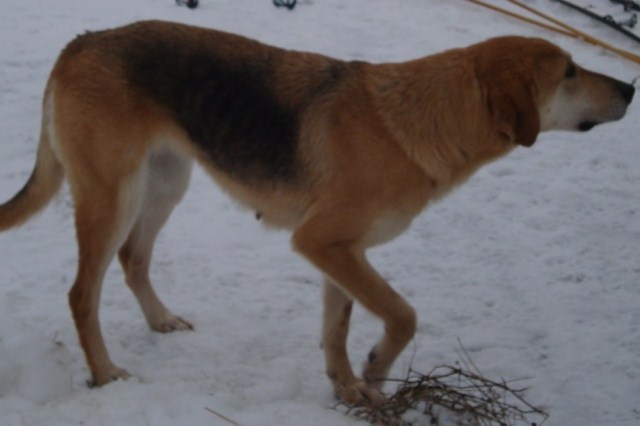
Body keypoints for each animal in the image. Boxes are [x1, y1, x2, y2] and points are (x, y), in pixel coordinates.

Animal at [0, 20, 632, 406]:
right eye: (570, 71)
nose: (630, 87)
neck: (416, 121)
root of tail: (79, 43)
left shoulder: (341, 252)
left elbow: (337, 329)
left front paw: (348, 390)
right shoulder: (325, 243)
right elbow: (403, 315)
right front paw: (376, 369)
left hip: (166, 183)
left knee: (134, 258)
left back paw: (160, 321)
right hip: (113, 198)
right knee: (82, 293)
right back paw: (105, 374)